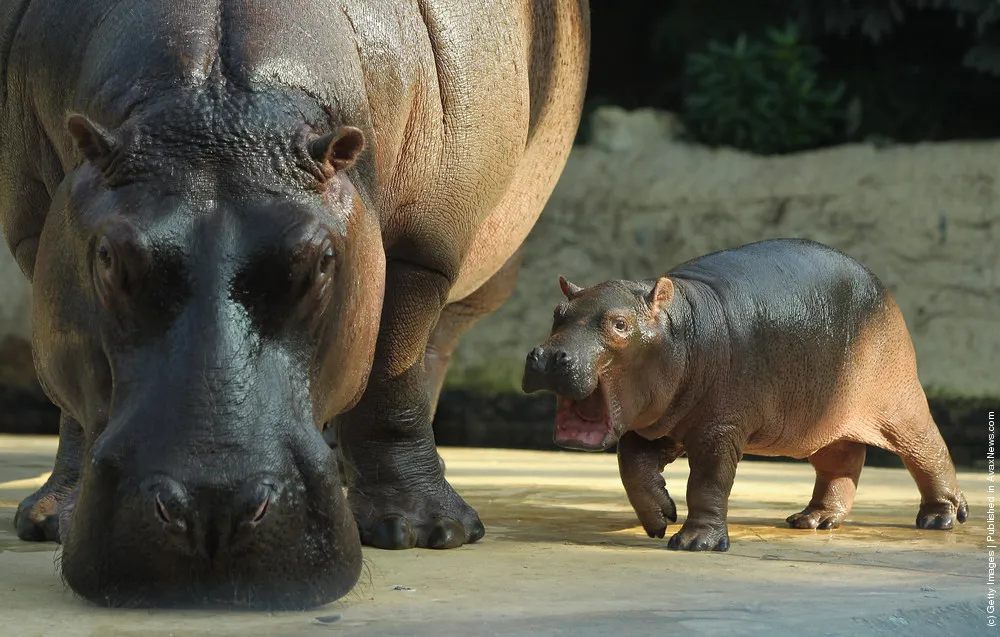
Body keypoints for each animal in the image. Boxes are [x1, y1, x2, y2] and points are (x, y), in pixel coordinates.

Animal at [0, 0, 590, 608]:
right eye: (107, 257)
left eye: (323, 260)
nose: (211, 512)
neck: (218, 107)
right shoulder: (36, 233)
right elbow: (69, 388)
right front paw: (53, 519)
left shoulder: (421, 251)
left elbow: (391, 374)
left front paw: (426, 532)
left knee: (432, 347)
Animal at [522, 238, 968, 551]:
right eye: (557, 314)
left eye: (619, 324)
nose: (547, 355)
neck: (682, 327)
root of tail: (882, 288)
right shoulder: (662, 425)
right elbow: (630, 465)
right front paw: (659, 519)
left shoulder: (719, 429)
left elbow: (708, 481)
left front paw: (694, 542)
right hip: (820, 423)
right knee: (841, 464)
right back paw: (814, 520)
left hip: (899, 403)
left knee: (928, 450)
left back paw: (940, 518)